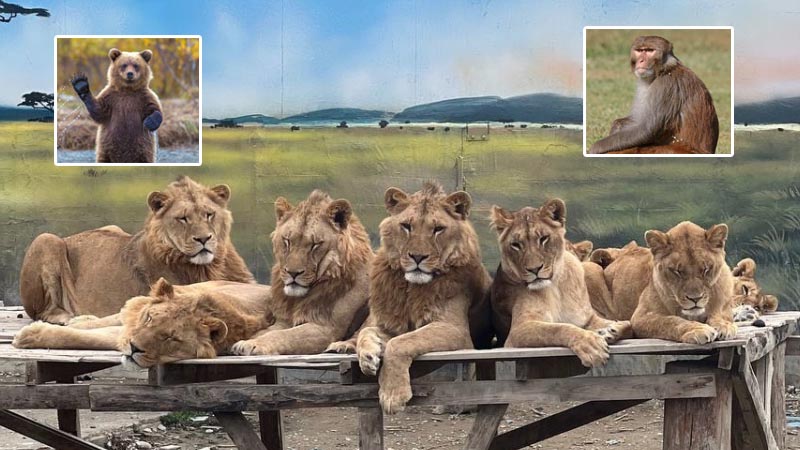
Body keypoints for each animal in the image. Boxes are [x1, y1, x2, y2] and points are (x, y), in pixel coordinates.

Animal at [13, 279, 273, 368]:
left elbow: (87, 337)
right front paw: (30, 334)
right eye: (150, 318)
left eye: (171, 338)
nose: (134, 348)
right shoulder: (131, 326)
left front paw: (30, 335)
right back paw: (79, 319)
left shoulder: (123, 335)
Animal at [19, 176, 254, 324]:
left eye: (209, 214)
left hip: (112, 227)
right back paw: (71, 317)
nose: (204, 238)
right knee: (43, 312)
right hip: (46, 239)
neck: (211, 266)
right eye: (183, 218)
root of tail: (68, 237)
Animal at [230, 190, 372, 356]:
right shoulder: (283, 321)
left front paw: (252, 345)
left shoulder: (325, 328)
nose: (293, 273)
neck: (297, 300)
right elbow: (265, 332)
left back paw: (342, 347)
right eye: (287, 241)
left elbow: (283, 335)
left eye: (315, 244)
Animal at [354, 182, 492, 414]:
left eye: (438, 229)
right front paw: (368, 357)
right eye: (406, 226)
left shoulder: (455, 329)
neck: (411, 288)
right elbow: (367, 332)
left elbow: (400, 343)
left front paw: (392, 395)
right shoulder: (392, 325)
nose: (417, 257)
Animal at [489, 199, 631, 369]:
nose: (534, 269)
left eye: (544, 238)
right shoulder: (518, 330)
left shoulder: (588, 318)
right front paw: (591, 345)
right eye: (516, 244)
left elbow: (629, 324)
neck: (555, 287)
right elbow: (557, 328)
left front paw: (612, 330)